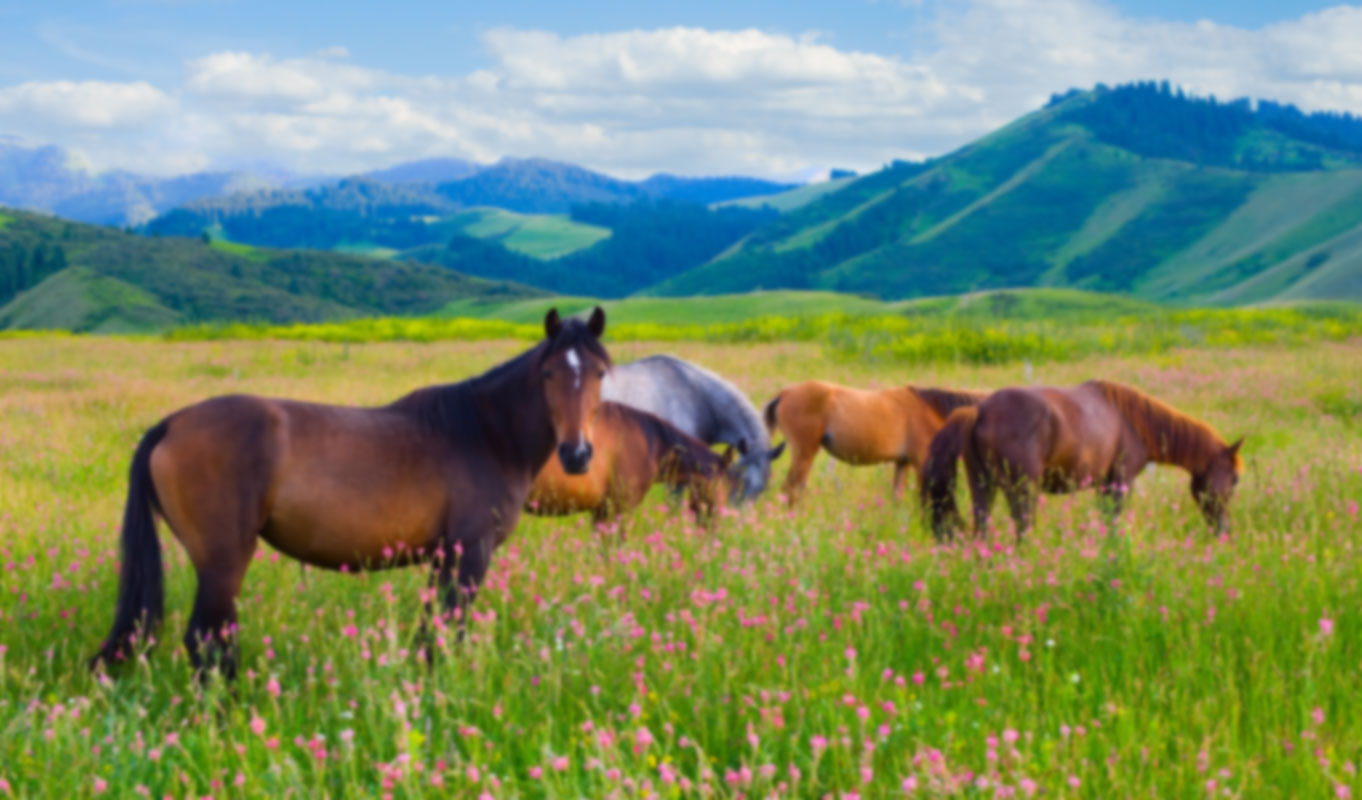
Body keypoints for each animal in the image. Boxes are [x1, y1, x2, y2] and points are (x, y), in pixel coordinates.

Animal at [87, 306, 610, 675]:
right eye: (548, 374)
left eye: (600, 373)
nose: (577, 454)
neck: (484, 433)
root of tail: (171, 425)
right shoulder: (470, 551)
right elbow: (448, 630)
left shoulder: (444, 555)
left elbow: (431, 631)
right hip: (222, 563)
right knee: (207, 640)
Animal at [762, 381, 986, 504]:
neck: (931, 408)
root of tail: (785, 393)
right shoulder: (922, 463)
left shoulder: (902, 463)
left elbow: (897, 497)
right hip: (804, 453)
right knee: (790, 490)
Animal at [915, 381, 1247, 545]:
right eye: (1235, 479)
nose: (1224, 532)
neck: (1134, 420)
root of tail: (980, 410)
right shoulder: (1120, 481)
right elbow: (1114, 520)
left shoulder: (1104, 485)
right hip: (1021, 488)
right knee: (1023, 526)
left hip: (983, 487)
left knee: (982, 525)